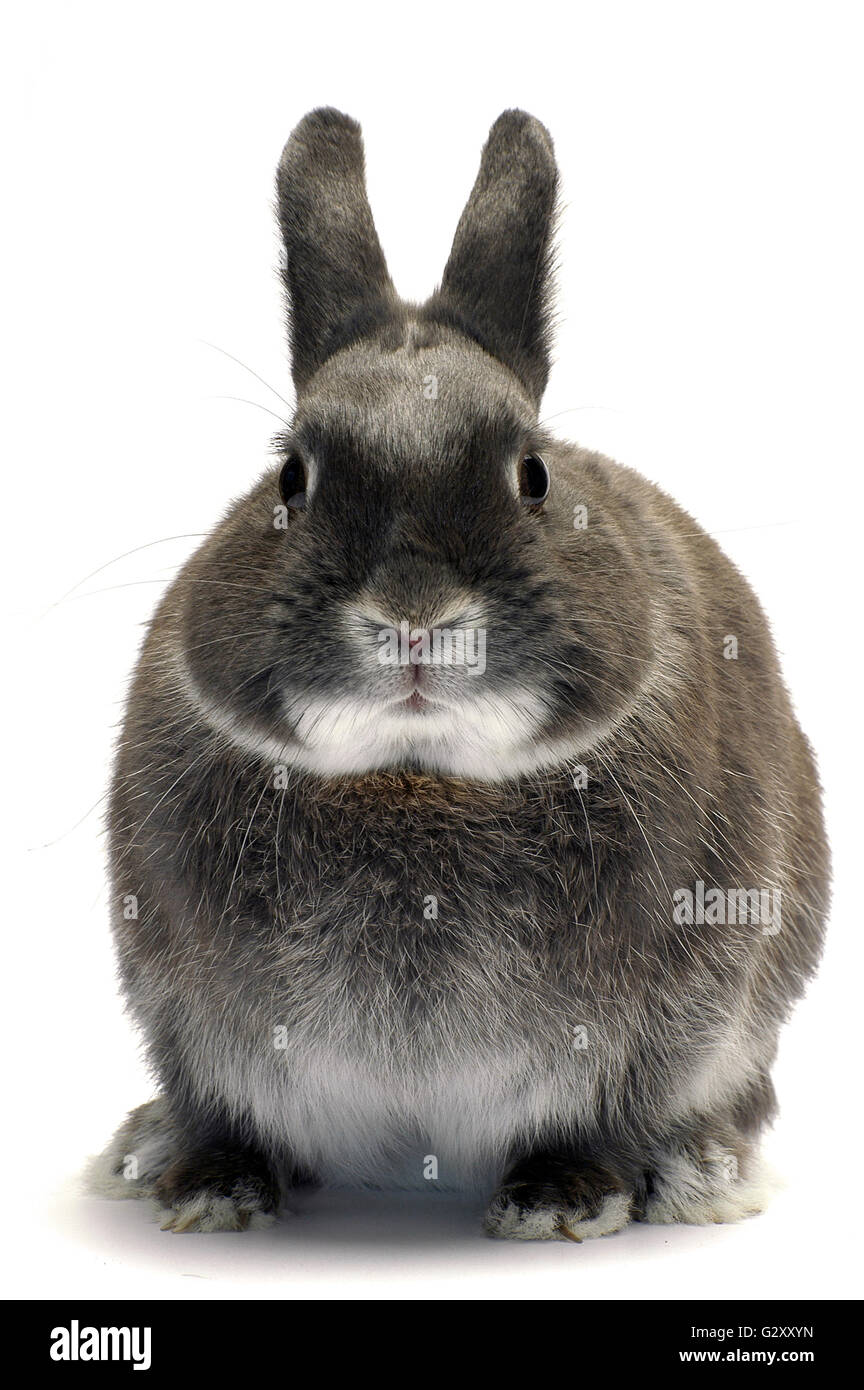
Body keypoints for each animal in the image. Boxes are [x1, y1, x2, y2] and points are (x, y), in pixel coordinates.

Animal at [89, 105, 833, 1239]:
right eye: (291, 477)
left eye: (533, 475)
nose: (415, 617)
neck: (415, 771)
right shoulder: (185, 1016)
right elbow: (223, 1101)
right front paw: (214, 1187)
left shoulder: (668, 1018)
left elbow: (601, 1112)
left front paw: (560, 1202)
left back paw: (698, 1170)